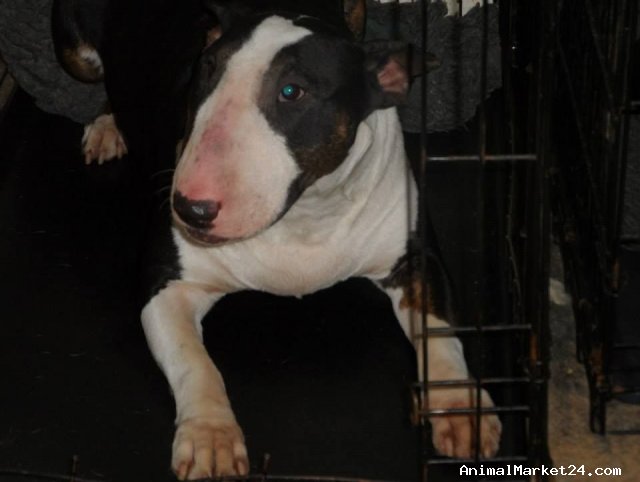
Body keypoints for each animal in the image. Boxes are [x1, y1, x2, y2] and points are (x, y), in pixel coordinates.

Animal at [53, 0, 502, 478]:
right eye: (207, 70)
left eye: (292, 92)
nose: (190, 210)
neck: (303, 215)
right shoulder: (166, 283)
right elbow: (195, 362)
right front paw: (210, 437)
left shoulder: (415, 257)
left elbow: (441, 331)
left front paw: (460, 406)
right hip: (75, 53)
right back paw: (106, 124)